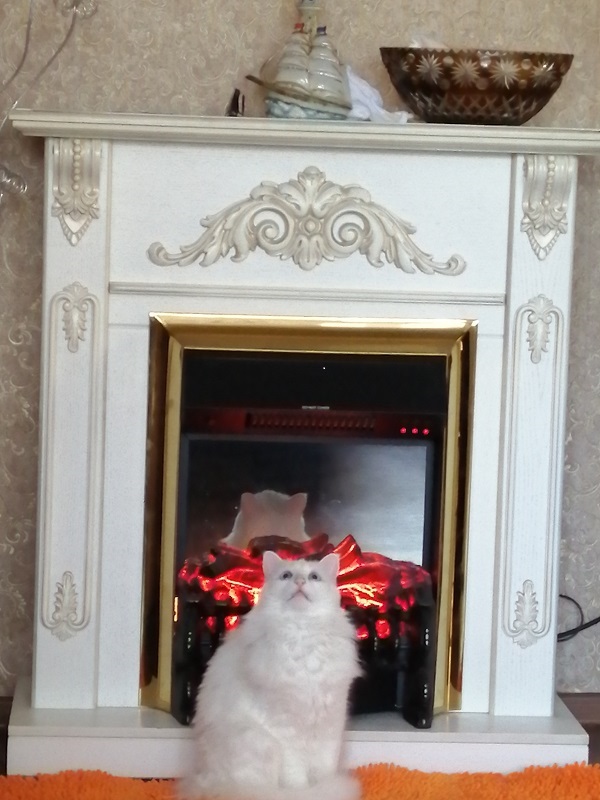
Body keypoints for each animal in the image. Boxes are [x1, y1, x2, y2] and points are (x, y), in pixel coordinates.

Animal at [179, 551, 362, 800]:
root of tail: (208, 783)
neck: (302, 635)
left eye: (314, 577)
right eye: (286, 575)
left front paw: (326, 785)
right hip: (259, 743)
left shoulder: (330, 725)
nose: (300, 582)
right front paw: (309, 792)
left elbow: (325, 769)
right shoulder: (286, 732)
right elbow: (297, 778)